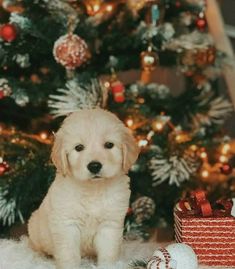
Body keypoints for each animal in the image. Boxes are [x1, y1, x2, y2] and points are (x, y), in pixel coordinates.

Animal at [27, 108, 140, 268]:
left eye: (109, 145)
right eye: (79, 147)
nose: (94, 166)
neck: (93, 189)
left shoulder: (109, 225)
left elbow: (108, 254)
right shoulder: (67, 225)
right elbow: (69, 255)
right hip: (35, 227)